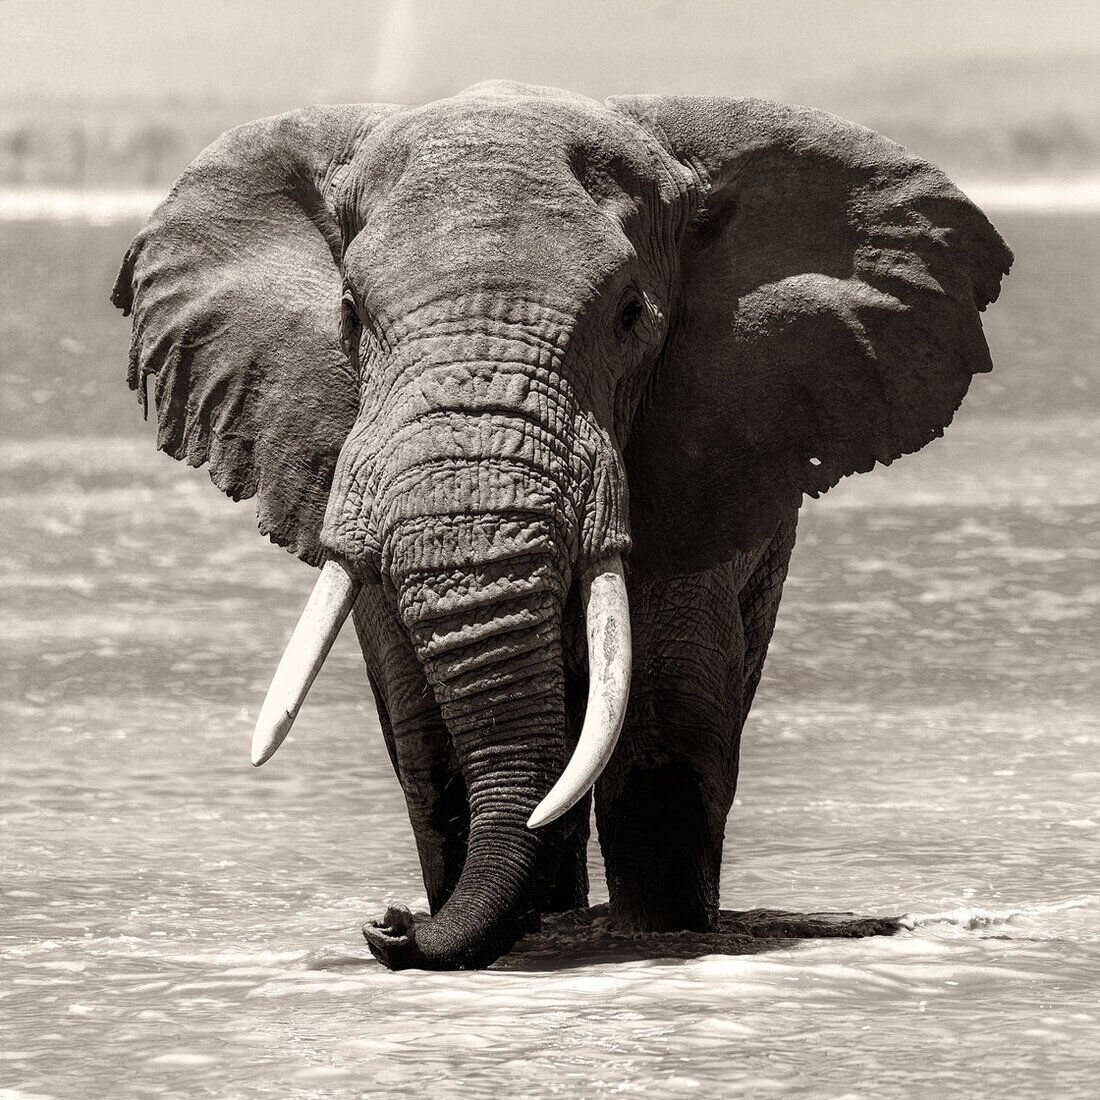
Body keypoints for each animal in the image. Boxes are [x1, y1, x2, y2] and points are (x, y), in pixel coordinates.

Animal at [112, 81, 1011, 971]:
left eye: (630, 315)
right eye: (349, 312)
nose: (388, 923)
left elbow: (660, 730)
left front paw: (652, 944)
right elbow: (429, 743)